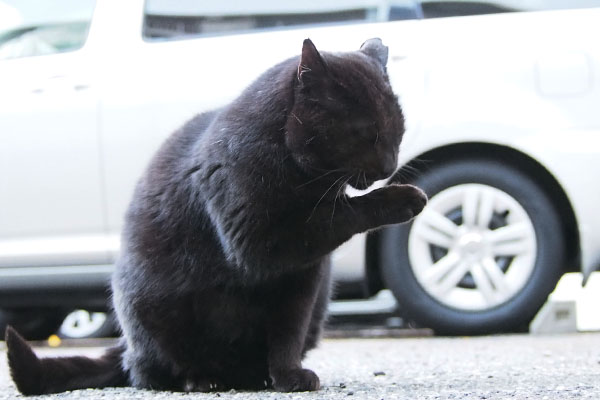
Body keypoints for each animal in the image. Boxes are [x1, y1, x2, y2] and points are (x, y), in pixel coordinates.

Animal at [4, 37, 426, 394]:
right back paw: (202, 380)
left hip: (320, 302)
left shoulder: (302, 280)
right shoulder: (259, 242)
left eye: (399, 130)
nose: (390, 166)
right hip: (151, 311)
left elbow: (287, 333)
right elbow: (338, 214)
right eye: (365, 132)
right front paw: (404, 197)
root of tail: (123, 346)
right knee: (151, 373)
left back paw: (255, 377)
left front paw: (288, 376)